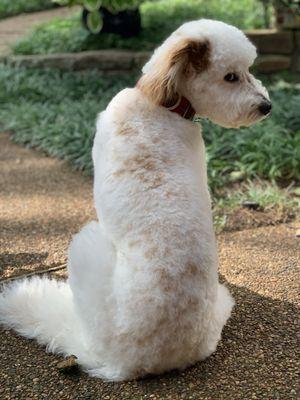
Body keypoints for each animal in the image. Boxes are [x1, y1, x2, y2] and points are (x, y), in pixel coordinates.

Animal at [0, 19, 270, 382]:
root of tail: (128, 364)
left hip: (86, 243)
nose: (266, 106)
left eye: (244, 71)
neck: (161, 103)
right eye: (231, 76)